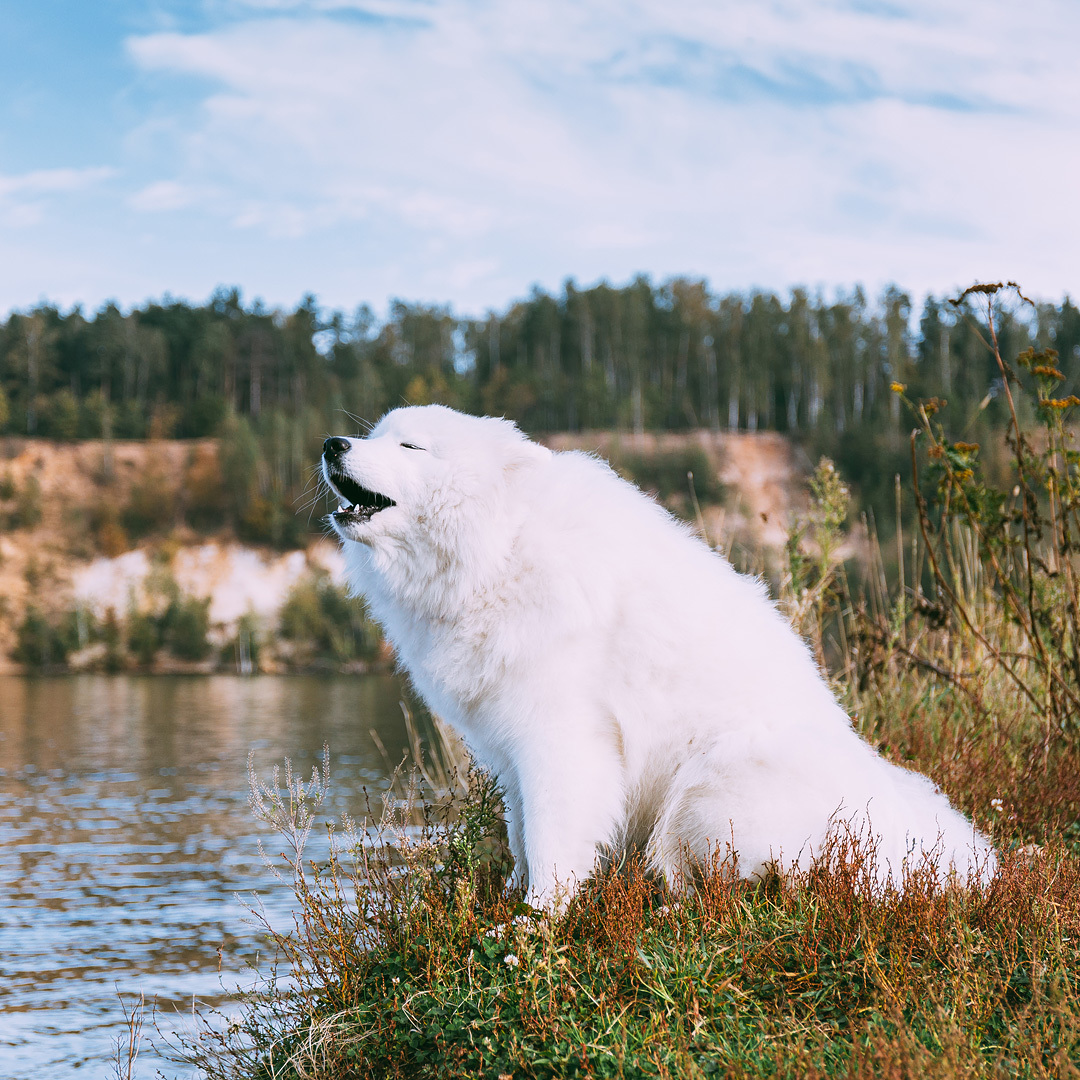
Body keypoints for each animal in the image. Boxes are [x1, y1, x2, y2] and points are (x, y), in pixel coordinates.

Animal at [319, 406, 993, 902]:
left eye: (411, 447)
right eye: (374, 433)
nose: (331, 443)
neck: (498, 553)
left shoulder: (564, 737)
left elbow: (553, 839)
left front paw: (531, 927)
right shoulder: (508, 742)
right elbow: (519, 833)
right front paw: (504, 897)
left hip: (713, 780)